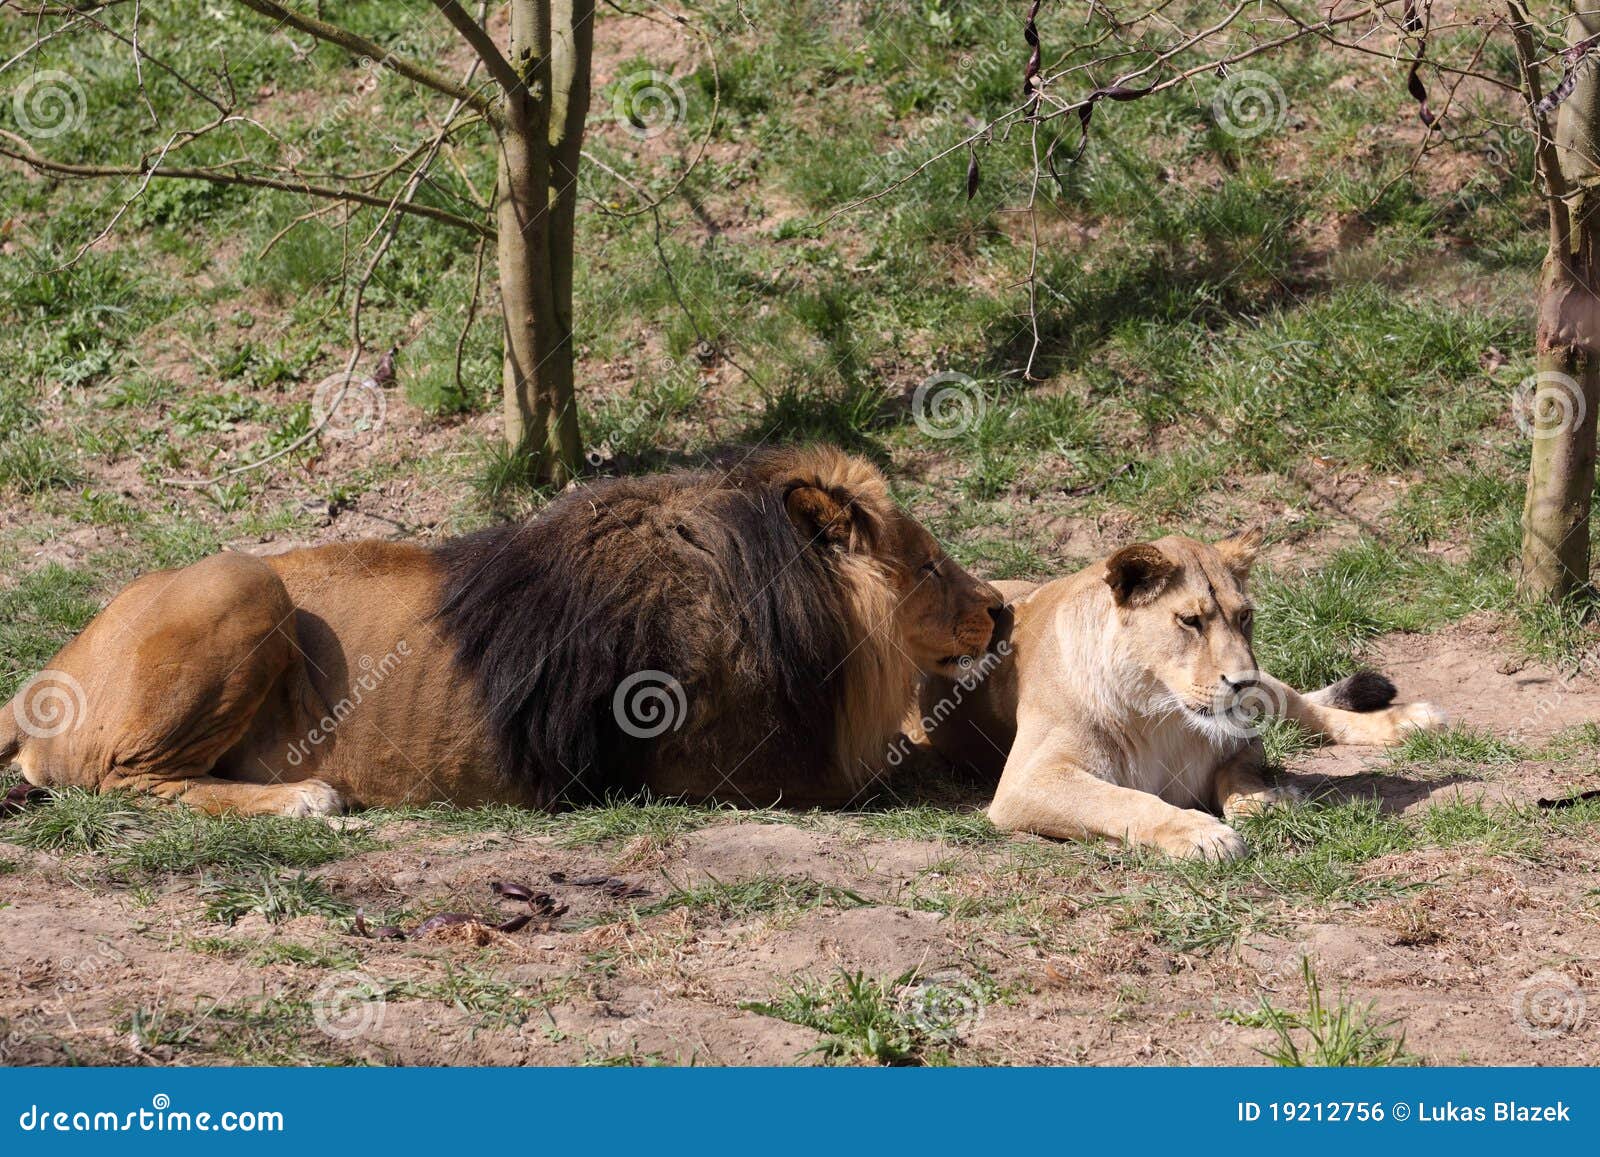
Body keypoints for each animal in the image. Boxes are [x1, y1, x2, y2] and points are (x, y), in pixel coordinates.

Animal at [0, 448, 998, 819]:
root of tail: (43, 675)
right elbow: (896, 765)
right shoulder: (731, 772)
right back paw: (304, 799)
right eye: (929, 564)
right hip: (243, 578)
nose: (1003, 609)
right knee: (125, 780)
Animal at [921, 534, 1446, 857]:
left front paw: (1266, 801)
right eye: (1190, 621)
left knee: (1312, 710)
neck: (1162, 714)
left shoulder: (1244, 741)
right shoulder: (1026, 783)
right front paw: (1201, 833)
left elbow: (1240, 777)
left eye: (1244, 616)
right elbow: (1126, 801)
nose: (1243, 681)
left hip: (1272, 690)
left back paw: (1414, 721)